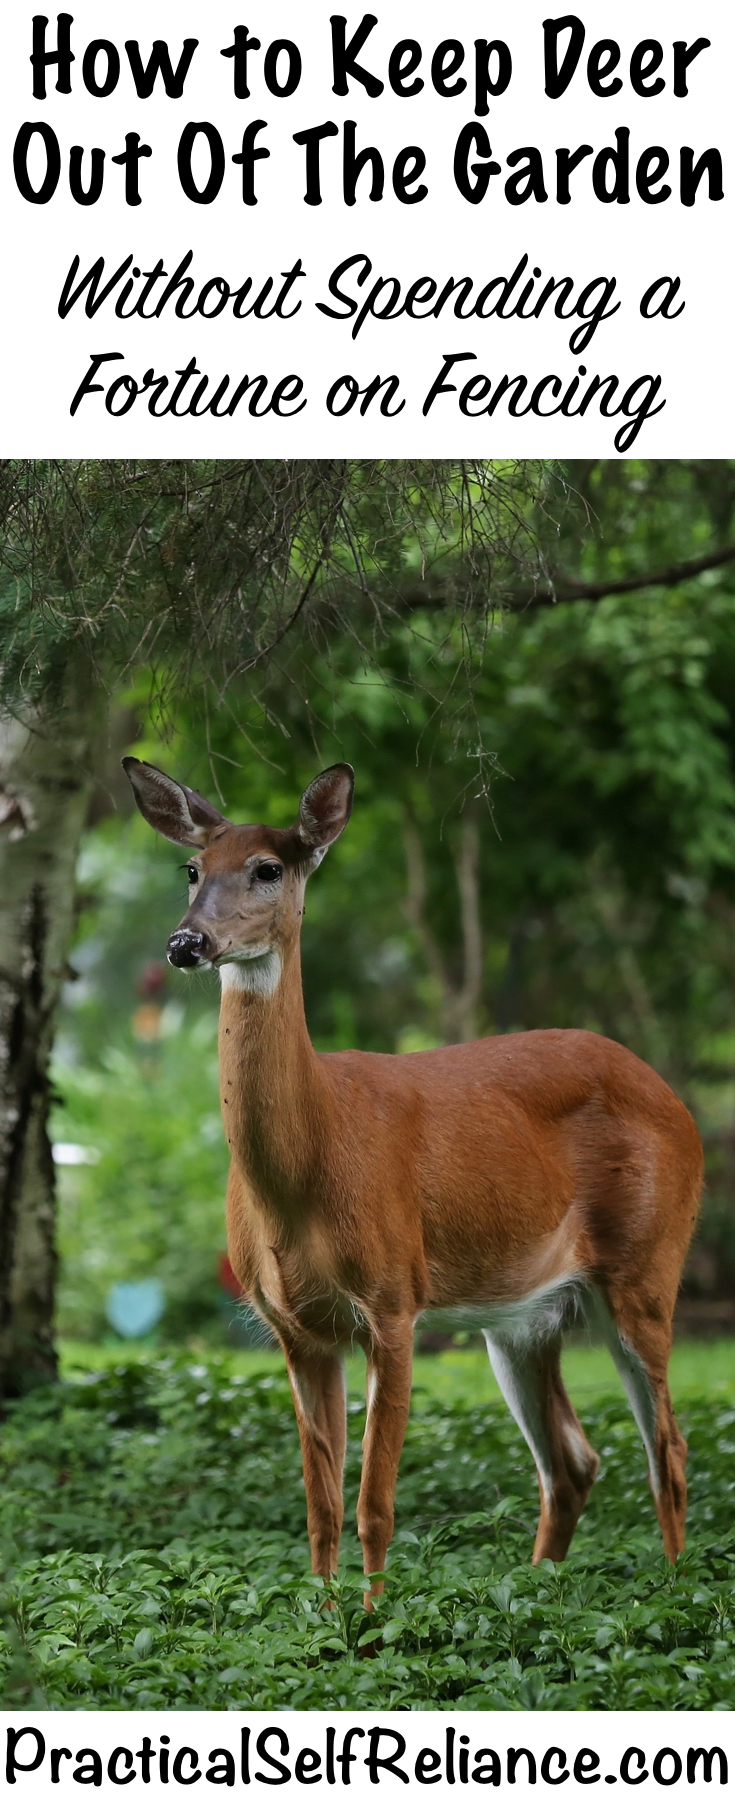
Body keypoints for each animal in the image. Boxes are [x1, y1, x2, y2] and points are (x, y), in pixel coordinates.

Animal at [123, 755, 703, 1594]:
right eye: (192, 869)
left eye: (268, 868)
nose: (185, 943)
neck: (306, 1171)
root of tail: (676, 1103)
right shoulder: (294, 1328)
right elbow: (320, 1507)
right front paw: (324, 1616)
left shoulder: (393, 1298)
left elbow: (375, 1505)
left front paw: (370, 1618)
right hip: (524, 1318)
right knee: (572, 1461)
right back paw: (537, 1593)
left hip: (648, 1264)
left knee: (668, 1452)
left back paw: (670, 1592)